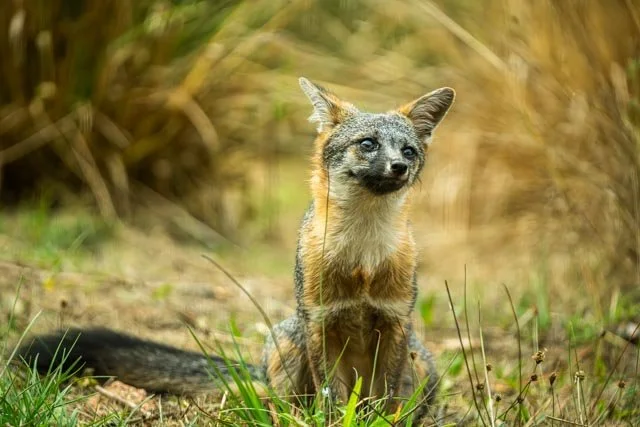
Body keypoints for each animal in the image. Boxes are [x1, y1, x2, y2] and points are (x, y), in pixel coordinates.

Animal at [17, 77, 455, 420]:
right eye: (368, 144)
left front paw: (383, 419)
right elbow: (332, 397)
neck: (362, 257)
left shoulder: (394, 320)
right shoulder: (319, 321)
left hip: (420, 361)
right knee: (287, 406)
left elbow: (387, 399)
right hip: (286, 343)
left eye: (408, 151)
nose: (399, 168)